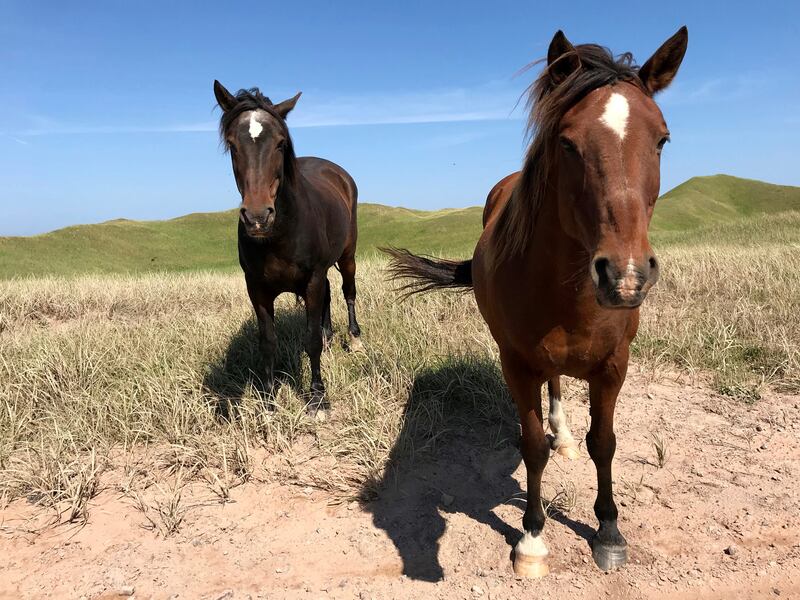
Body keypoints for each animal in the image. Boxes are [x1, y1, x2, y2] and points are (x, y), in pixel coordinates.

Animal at [212, 82, 362, 414]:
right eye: (233, 144)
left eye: (280, 143)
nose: (257, 217)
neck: (280, 234)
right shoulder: (256, 288)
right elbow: (268, 341)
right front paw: (268, 401)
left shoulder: (313, 279)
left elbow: (311, 340)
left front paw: (318, 397)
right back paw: (331, 336)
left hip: (348, 256)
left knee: (348, 291)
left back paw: (355, 339)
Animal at [386, 28, 688, 576]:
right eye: (567, 143)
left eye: (662, 139)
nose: (626, 276)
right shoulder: (518, 364)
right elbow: (530, 447)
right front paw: (531, 536)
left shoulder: (614, 365)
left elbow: (604, 444)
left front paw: (609, 530)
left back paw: (564, 437)